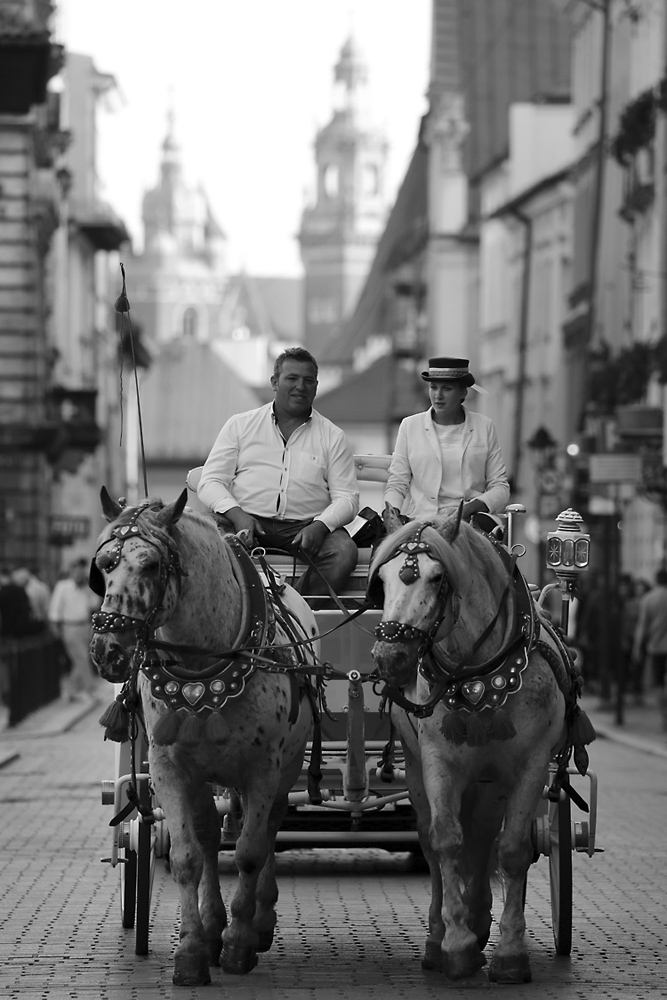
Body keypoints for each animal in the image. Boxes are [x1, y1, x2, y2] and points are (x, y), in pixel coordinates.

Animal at [90, 488, 320, 988]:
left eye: (152, 565)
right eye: (102, 565)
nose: (107, 650)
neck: (203, 661)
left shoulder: (262, 767)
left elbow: (251, 851)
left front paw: (239, 945)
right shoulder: (170, 767)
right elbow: (186, 856)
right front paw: (194, 950)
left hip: (286, 765)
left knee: (269, 828)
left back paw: (258, 922)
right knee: (212, 837)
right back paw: (215, 926)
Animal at [370, 508, 596, 984]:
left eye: (438, 578)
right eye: (381, 579)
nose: (389, 658)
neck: (477, 676)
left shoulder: (529, 766)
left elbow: (512, 850)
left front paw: (509, 953)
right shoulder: (438, 763)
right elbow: (446, 841)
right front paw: (455, 945)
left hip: (492, 782)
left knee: (485, 837)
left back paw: (479, 922)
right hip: (418, 770)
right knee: (434, 841)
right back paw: (442, 939)